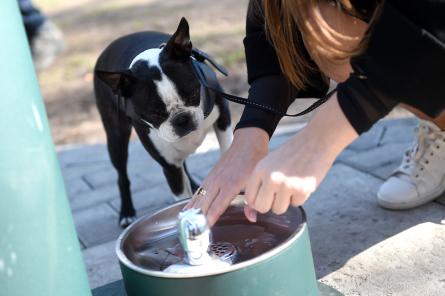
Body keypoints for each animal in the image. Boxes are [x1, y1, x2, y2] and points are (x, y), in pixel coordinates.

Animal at [94, 17, 232, 227]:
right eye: (155, 114)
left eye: (194, 94)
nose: (182, 119)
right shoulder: (168, 165)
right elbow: (180, 196)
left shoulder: (223, 114)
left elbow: (228, 149)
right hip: (116, 137)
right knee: (122, 174)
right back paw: (126, 212)